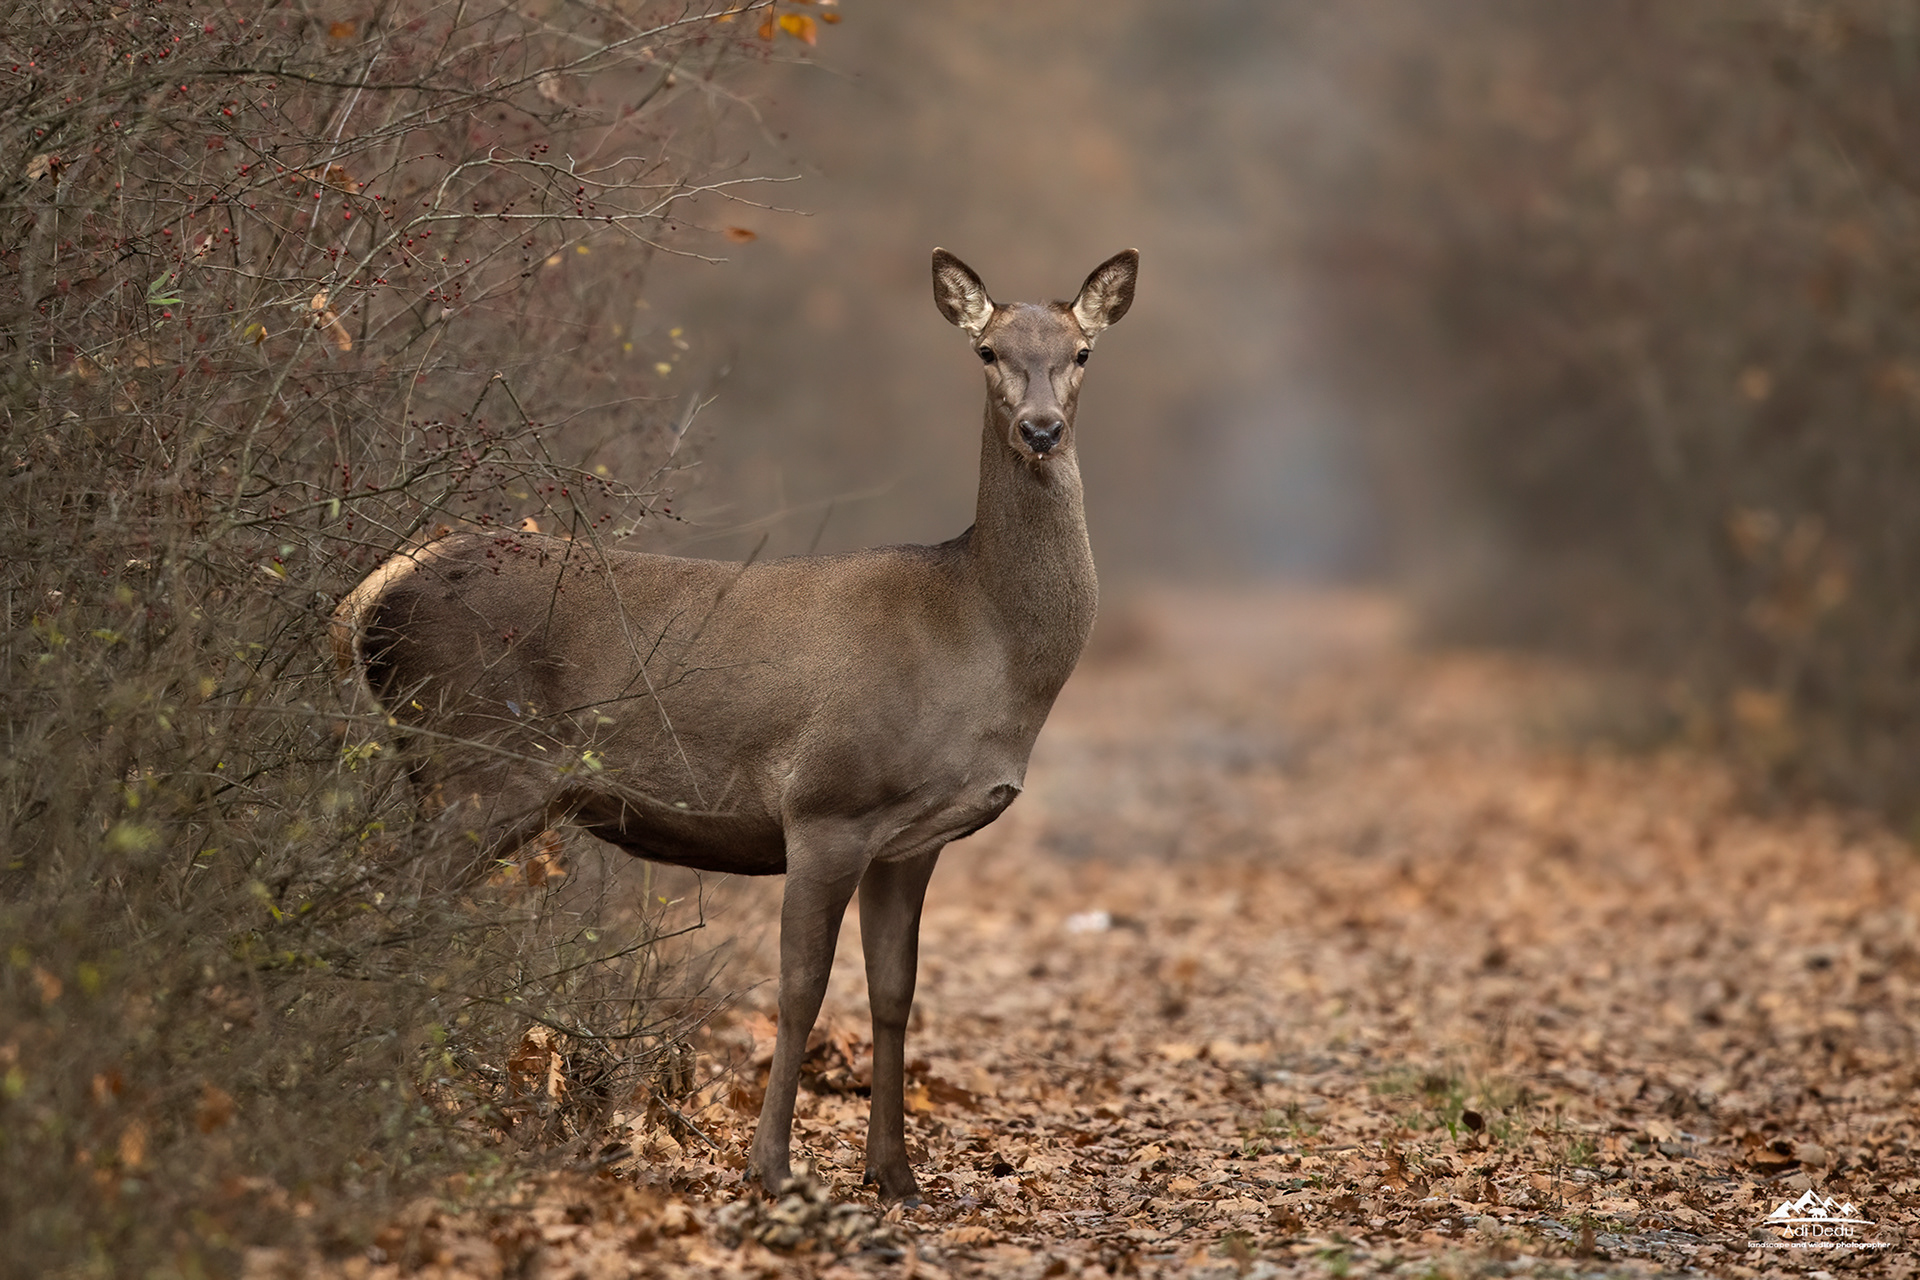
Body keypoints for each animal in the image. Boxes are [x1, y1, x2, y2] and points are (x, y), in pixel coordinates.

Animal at [331, 247, 1138, 1201]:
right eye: (987, 351)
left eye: (1081, 351)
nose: (1041, 429)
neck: (986, 644)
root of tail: (373, 595)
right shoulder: (830, 803)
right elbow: (800, 988)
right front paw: (773, 1167)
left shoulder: (913, 839)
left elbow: (894, 994)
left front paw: (894, 1175)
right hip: (474, 760)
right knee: (391, 911)